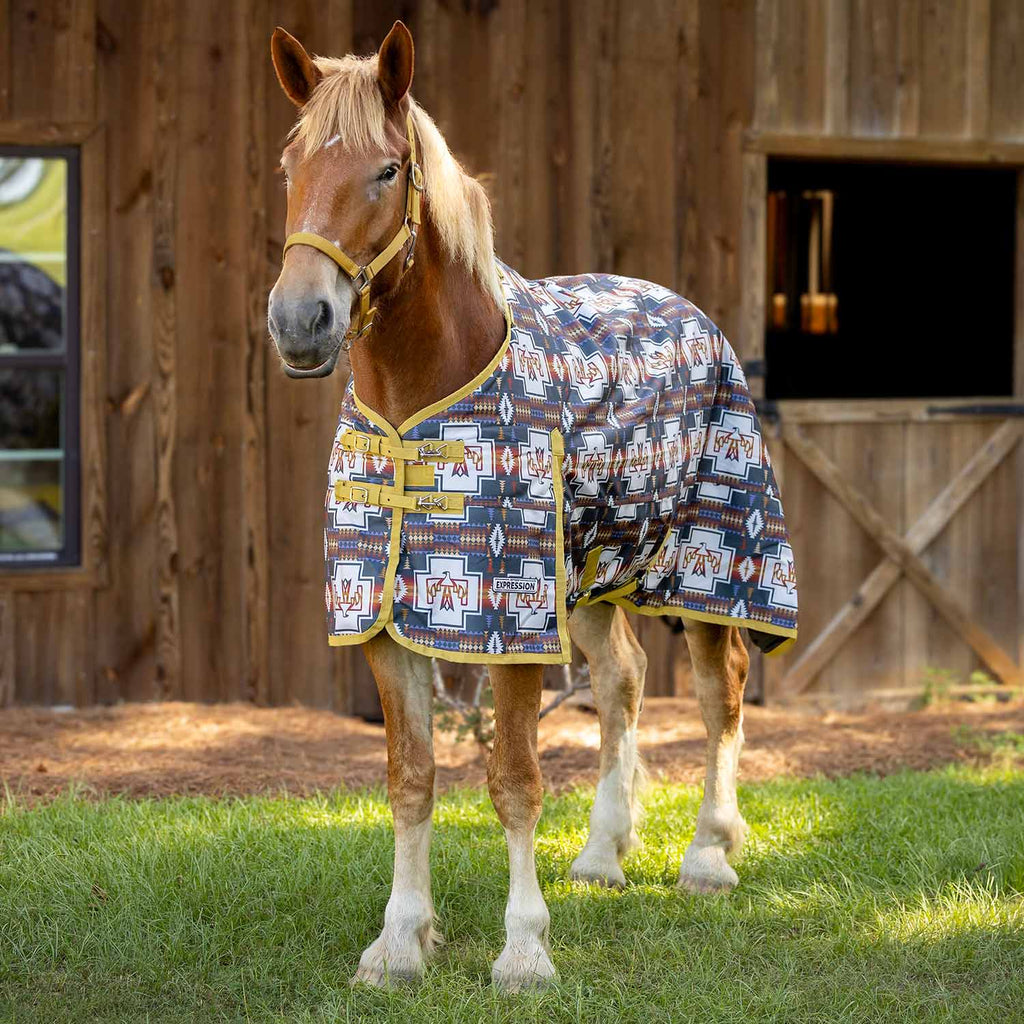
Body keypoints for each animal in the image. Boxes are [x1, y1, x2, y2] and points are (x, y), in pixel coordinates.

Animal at [267, 21, 797, 993]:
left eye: (388, 169)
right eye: (291, 165)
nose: (300, 321)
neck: (423, 400)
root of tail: (691, 312)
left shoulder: (506, 623)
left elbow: (513, 780)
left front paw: (523, 949)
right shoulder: (384, 622)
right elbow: (411, 778)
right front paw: (400, 940)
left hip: (707, 565)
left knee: (721, 693)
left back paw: (708, 855)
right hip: (590, 581)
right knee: (623, 682)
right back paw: (601, 854)